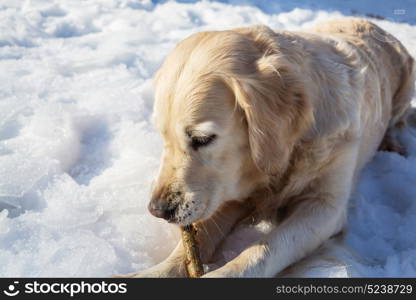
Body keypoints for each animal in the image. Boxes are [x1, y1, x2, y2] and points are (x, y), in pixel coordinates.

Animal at [129, 17, 412, 278]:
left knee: (398, 120)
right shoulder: (229, 190)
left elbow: (267, 248)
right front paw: (152, 272)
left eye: (202, 139)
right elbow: (196, 236)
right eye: (163, 136)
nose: (156, 210)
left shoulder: (324, 206)